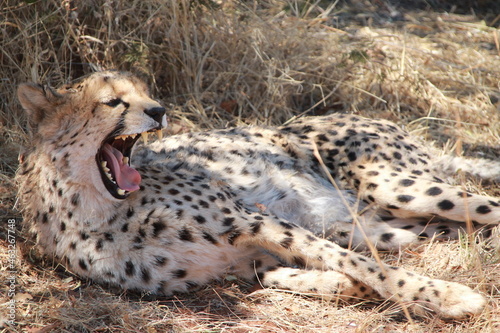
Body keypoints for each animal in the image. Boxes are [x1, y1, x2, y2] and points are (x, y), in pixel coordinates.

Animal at [16, 71, 500, 318]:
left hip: (391, 183)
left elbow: (362, 266)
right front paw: (344, 286)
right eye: (112, 101)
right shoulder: (244, 261)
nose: (159, 110)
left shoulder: (254, 218)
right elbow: (302, 275)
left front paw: (450, 297)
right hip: (393, 221)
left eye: (144, 93)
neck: (102, 209)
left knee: (483, 205)